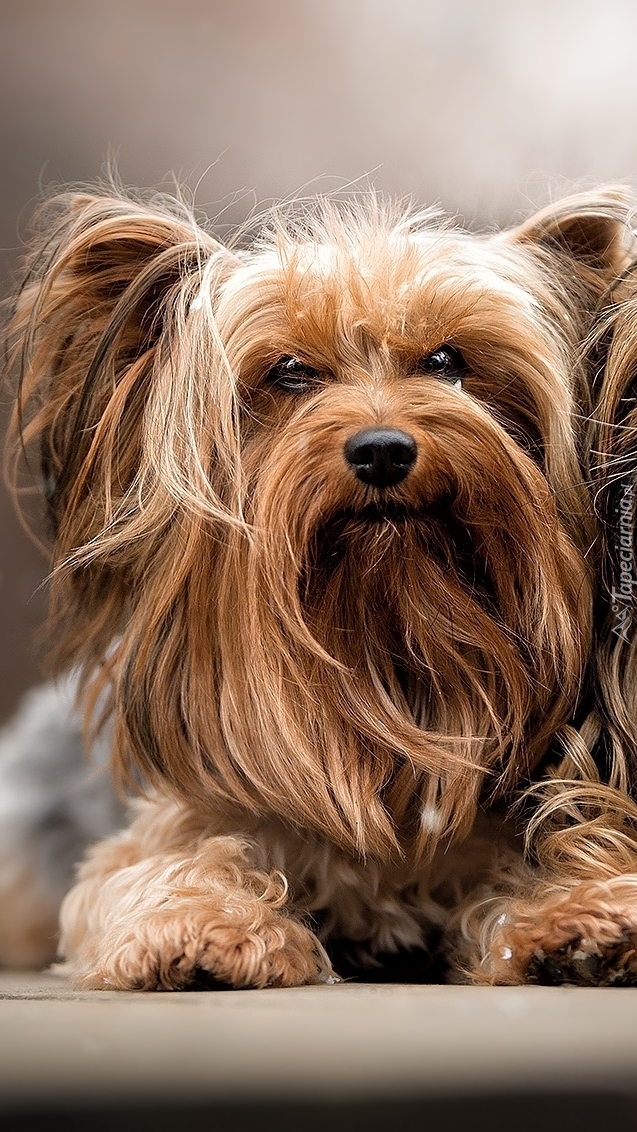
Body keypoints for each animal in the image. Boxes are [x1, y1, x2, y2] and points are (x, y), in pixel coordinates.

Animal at [4, 181, 637, 987]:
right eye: (289, 373)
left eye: (446, 359)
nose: (382, 449)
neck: (383, 667)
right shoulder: (178, 817)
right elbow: (158, 865)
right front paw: (202, 927)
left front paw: (572, 919)